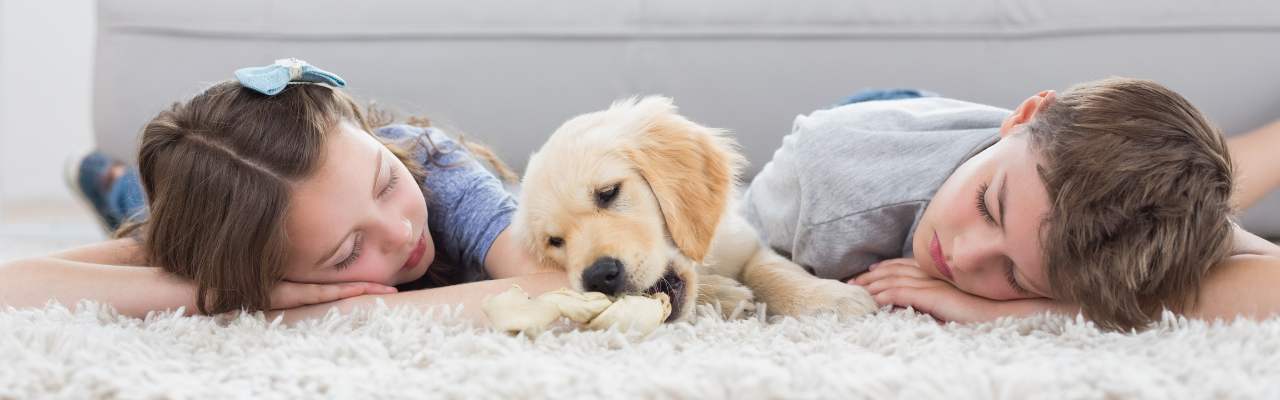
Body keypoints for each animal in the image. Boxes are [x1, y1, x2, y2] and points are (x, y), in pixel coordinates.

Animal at [512, 96, 880, 321]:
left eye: (608, 192)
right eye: (554, 242)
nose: (598, 276)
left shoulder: (745, 242)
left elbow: (774, 271)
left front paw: (830, 298)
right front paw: (725, 295)